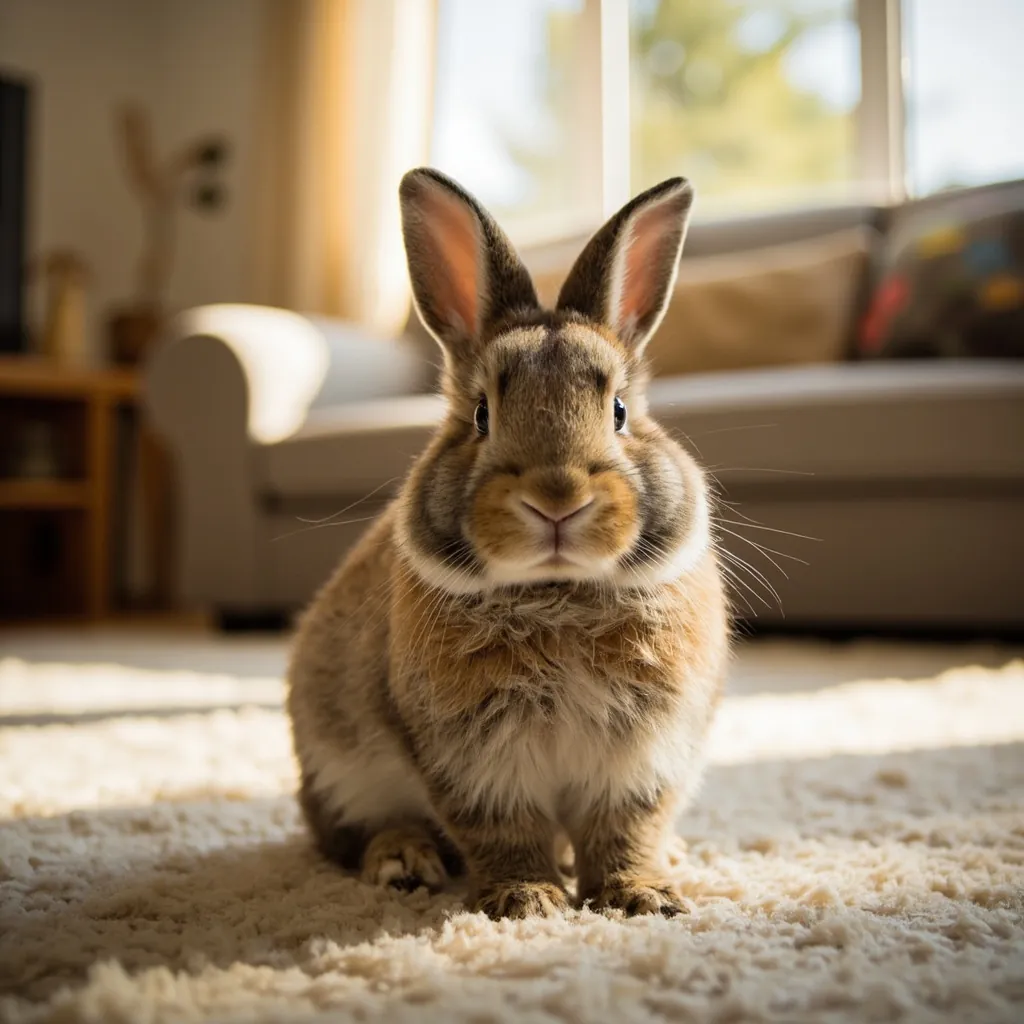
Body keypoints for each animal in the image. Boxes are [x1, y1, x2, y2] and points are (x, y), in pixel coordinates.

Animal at [287, 167, 729, 920]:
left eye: (619, 412)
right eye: (481, 415)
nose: (557, 498)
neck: (559, 592)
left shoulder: (644, 758)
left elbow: (626, 828)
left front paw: (640, 896)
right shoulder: (475, 763)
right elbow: (504, 830)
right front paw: (529, 900)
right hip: (335, 762)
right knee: (351, 832)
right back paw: (403, 862)